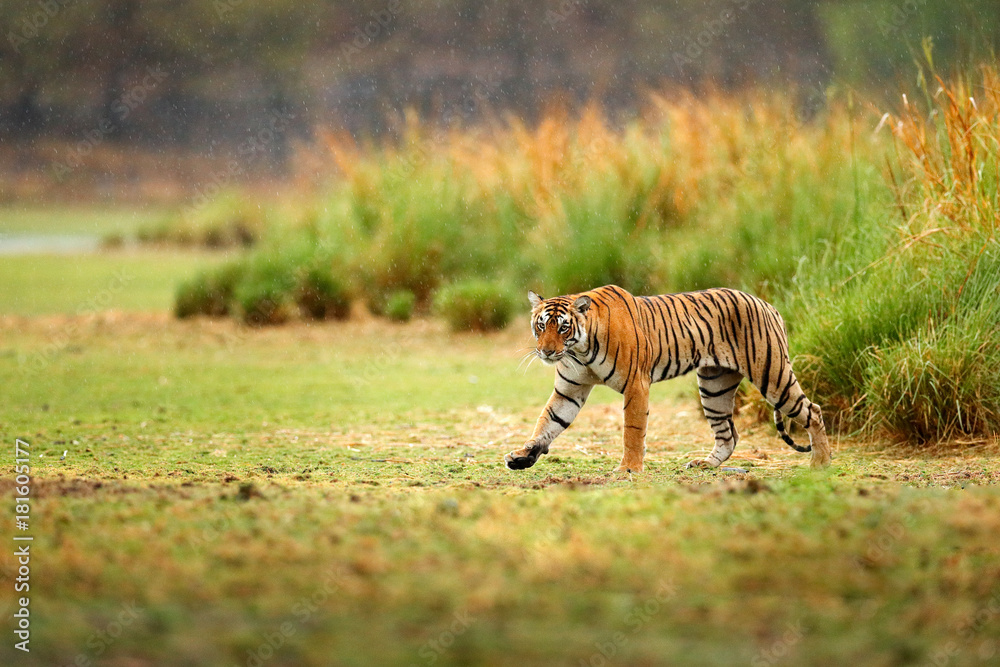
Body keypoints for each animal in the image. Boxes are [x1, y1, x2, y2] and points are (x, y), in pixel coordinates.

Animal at [504, 285, 831, 473]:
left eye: (562, 327)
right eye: (541, 325)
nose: (546, 351)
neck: (580, 350)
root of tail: (768, 305)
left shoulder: (636, 385)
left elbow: (632, 430)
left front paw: (629, 469)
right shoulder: (569, 390)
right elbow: (547, 423)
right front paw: (523, 456)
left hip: (772, 374)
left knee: (812, 411)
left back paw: (821, 462)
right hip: (714, 387)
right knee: (729, 434)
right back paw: (704, 464)